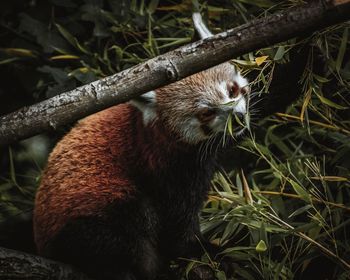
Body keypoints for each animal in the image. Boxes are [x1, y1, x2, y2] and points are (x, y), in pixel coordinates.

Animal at [32, 12, 250, 278]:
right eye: (206, 113)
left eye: (232, 90)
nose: (238, 118)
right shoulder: (167, 166)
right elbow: (177, 223)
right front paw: (201, 250)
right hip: (90, 215)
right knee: (132, 223)